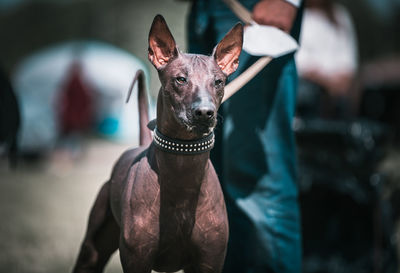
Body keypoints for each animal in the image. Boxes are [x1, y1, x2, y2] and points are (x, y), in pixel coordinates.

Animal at [72, 14, 244, 272]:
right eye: (180, 79)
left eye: (218, 82)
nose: (205, 113)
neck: (182, 172)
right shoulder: (137, 259)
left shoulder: (210, 260)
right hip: (91, 251)